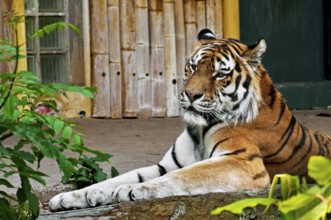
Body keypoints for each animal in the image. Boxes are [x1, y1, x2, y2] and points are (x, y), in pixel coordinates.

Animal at [48, 28, 331, 211]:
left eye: (220, 74)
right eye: (193, 67)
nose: (191, 94)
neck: (199, 130)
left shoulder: (242, 162)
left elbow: (183, 177)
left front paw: (131, 191)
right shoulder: (167, 164)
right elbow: (113, 179)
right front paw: (69, 197)